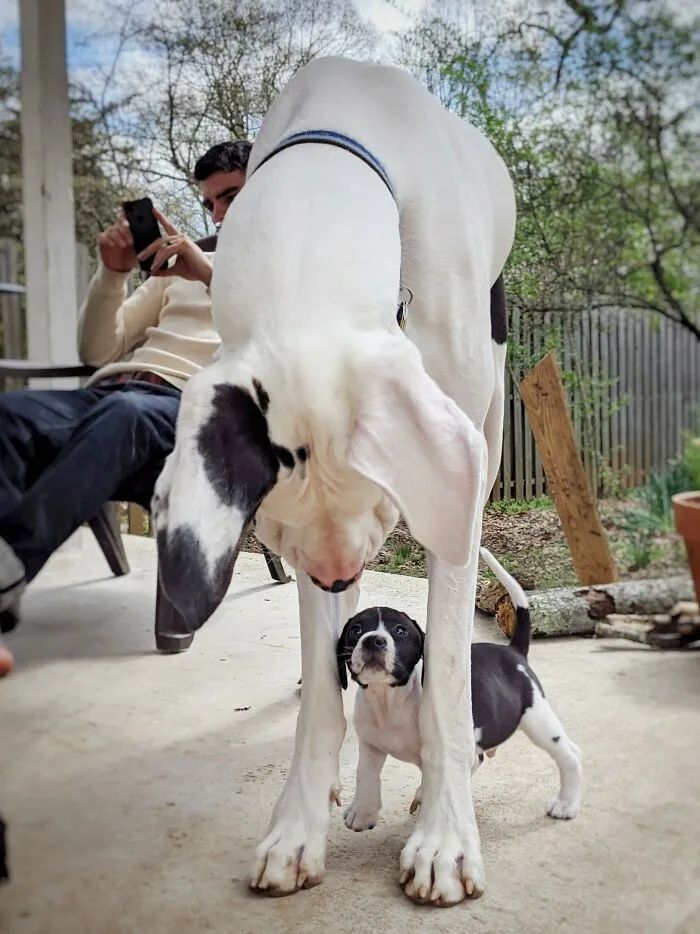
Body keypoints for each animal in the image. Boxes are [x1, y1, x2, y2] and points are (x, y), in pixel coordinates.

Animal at [153, 56, 516, 908]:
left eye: (382, 500)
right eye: (272, 527)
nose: (338, 575)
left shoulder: (447, 495)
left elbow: (446, 679)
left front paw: (444, 836)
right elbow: (323, 699)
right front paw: (297, 826)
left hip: (488, 420)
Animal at [336, 548, 584, 832]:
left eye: (400, 631)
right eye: (356, 629)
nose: (373, 640)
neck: (389, 699)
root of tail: (513, 651)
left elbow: (437, 785)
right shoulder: (371, 744)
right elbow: (365, 774)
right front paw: (363, 811)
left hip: (537, 718)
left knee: (570, 754)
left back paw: (566, 804)